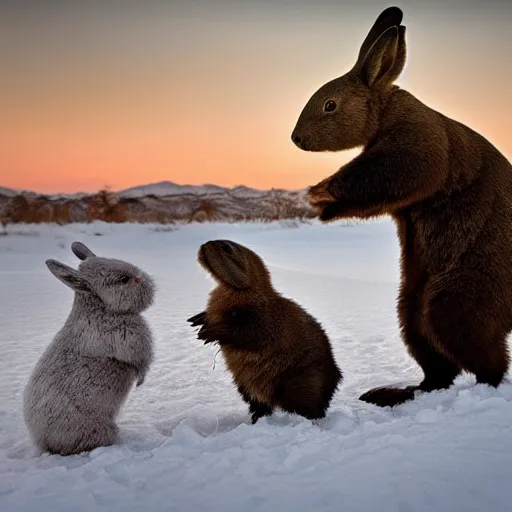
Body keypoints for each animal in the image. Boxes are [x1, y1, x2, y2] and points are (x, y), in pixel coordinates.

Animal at [23, 241, 156, 456]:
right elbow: (141, 362)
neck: (100, 306)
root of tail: (42, 442)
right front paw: (141, 380)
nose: (141, 278)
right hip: (99, 429)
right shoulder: (129, 340)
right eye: (123, 280)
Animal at [292, 6, 512, 408]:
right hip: (410, 301)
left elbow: (403, 168)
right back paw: (394, 392)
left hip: (464, 289)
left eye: (329, 104)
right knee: (432, 354)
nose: (296, 137)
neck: (385, 109)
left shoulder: (419, 136)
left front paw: (319, 192)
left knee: (478, 348)